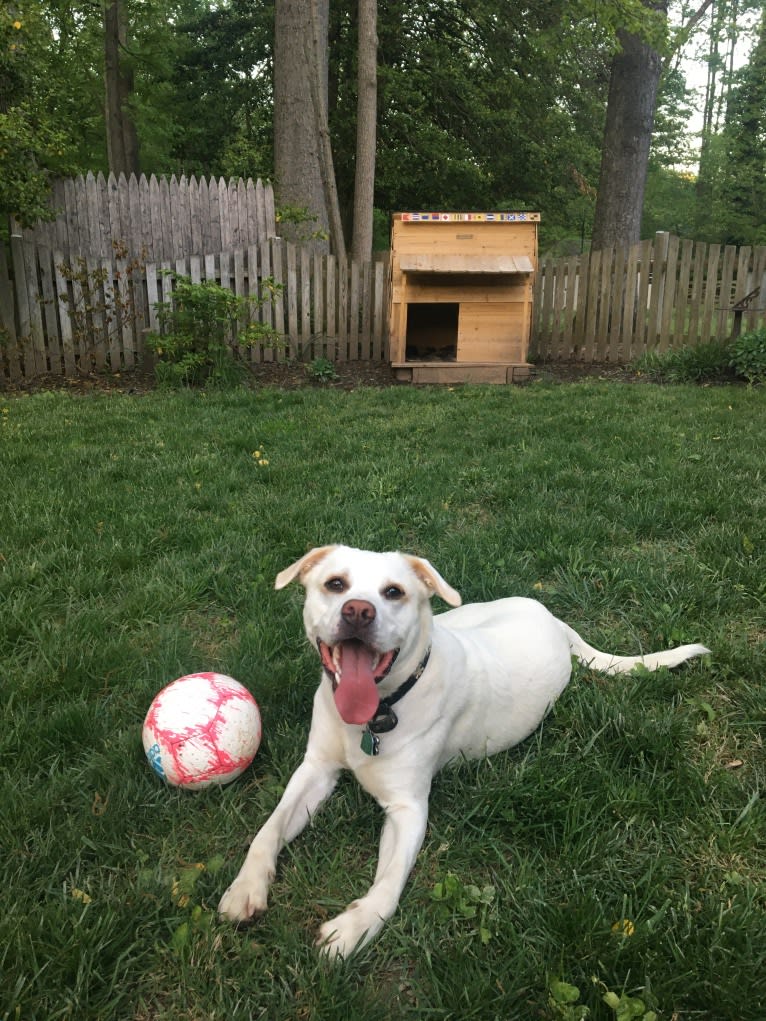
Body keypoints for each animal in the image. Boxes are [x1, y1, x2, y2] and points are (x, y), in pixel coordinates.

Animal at [218, 551, 710, 955]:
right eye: (335, 584)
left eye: (393, 592)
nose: (358, 610)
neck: (373, 714)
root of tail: (553, 618)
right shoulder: (315, 770)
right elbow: (268, 830)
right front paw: (246, 887)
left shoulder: (408, 809)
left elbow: (389, 882)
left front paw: (353, 928)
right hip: (464, 614)